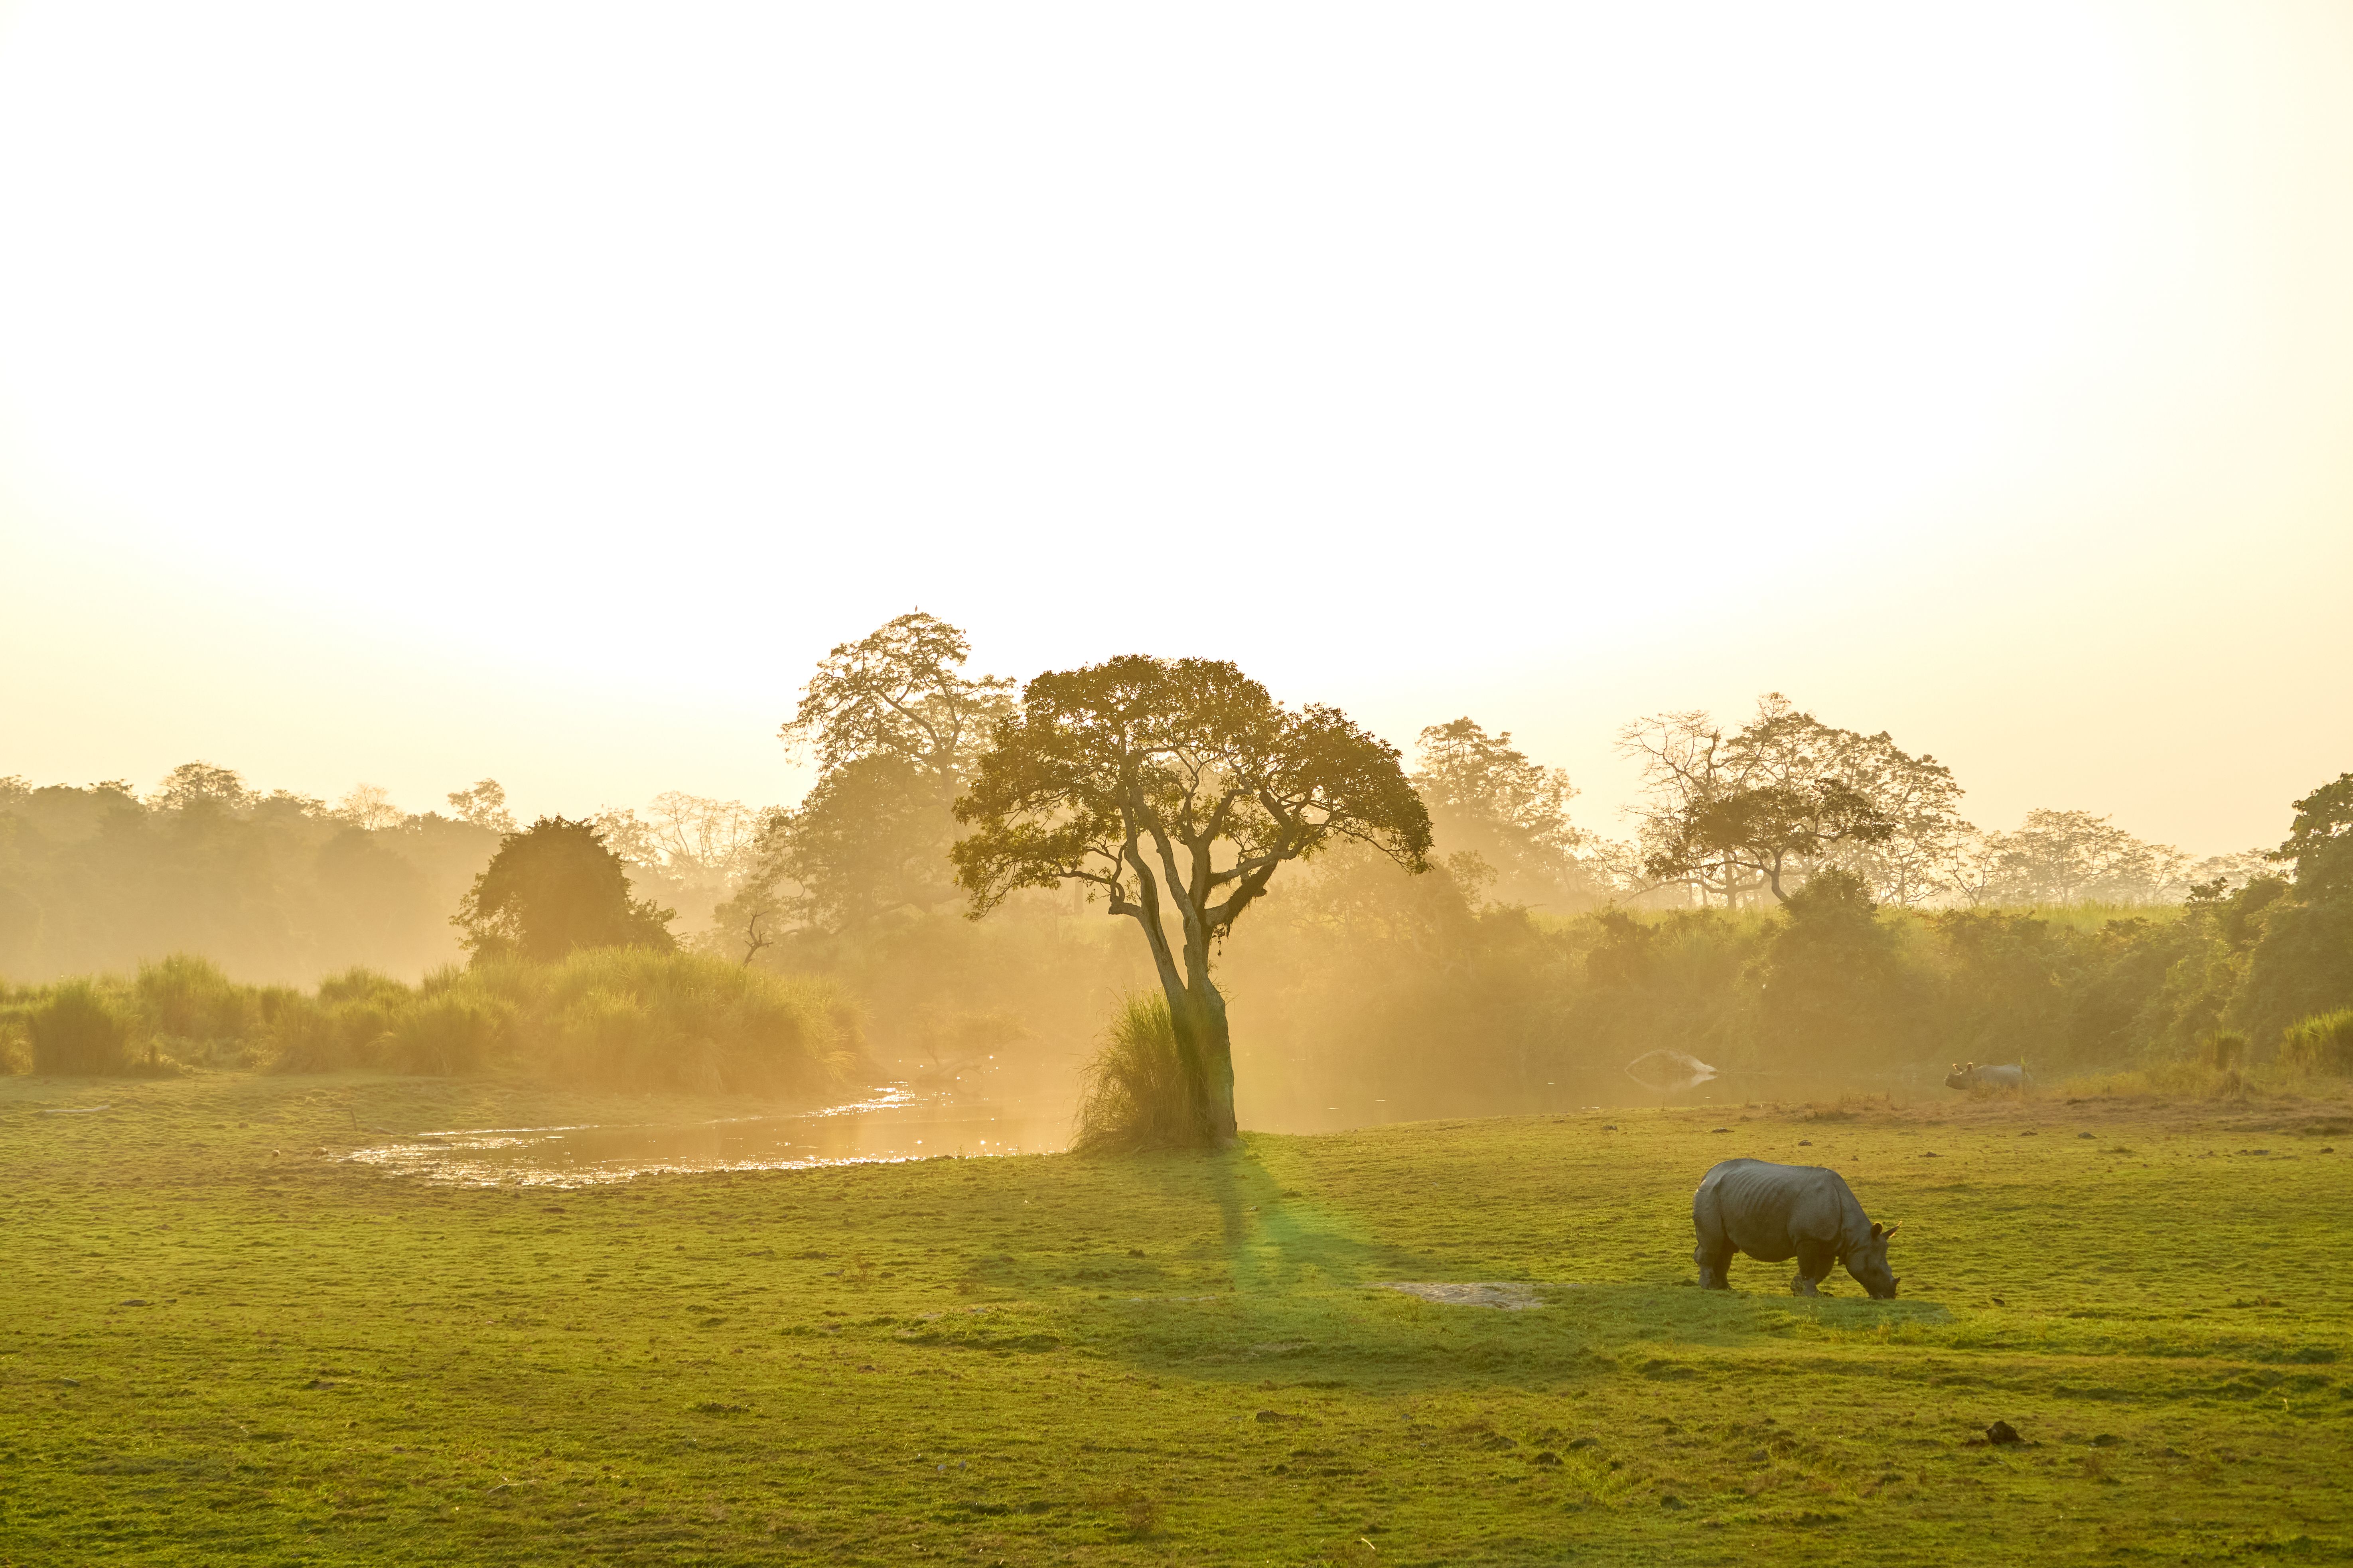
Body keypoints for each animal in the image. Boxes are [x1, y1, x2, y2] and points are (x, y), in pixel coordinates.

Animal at [1691, 1158, 1900, 1298]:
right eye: (1874, 1271)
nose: (1890, 1295)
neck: (1856, 1237)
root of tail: (1707, 1175)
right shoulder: (1808, 1238)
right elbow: (1810, 1267)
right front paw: (1809, 1294)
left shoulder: (1828, 1243)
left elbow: (1821, 1270)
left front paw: (1798, 1288)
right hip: (1710, 1194)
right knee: (1715, 1243)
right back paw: (1708, 1287)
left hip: (1729, 1195)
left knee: (1726, 1247)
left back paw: (1727, 1289)